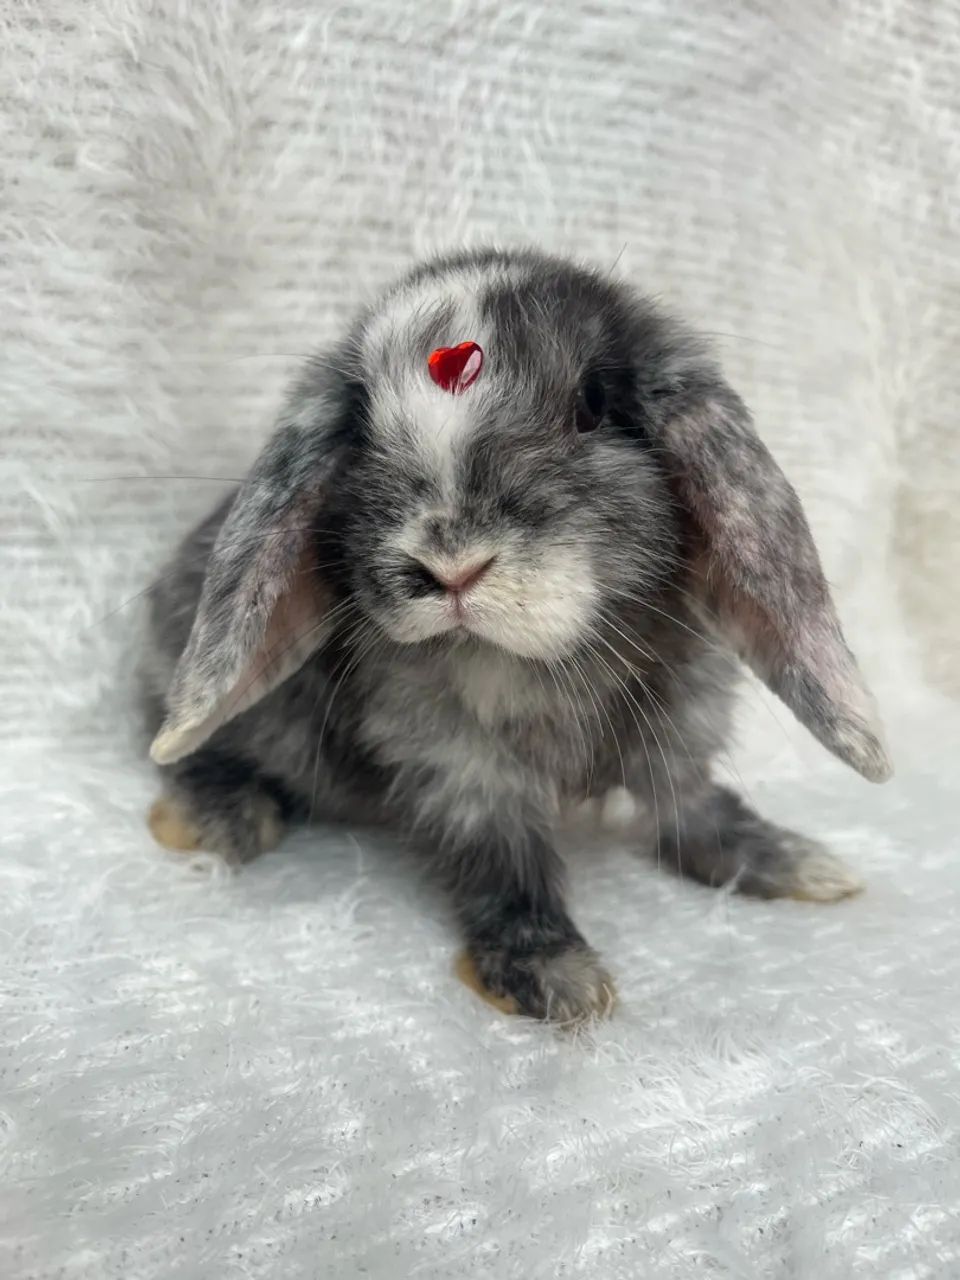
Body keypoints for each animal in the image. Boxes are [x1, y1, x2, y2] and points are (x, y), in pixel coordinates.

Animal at [142, 247, 892, 1023]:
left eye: (593, 404)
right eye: (360, 428)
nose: (449, 565)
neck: (534, 660)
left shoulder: (683, 724)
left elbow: (693, 809)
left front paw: (797, 864)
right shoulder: (459, 761)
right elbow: (503, 859)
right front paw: (556, 978)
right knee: (186, 747)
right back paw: (216, 819)